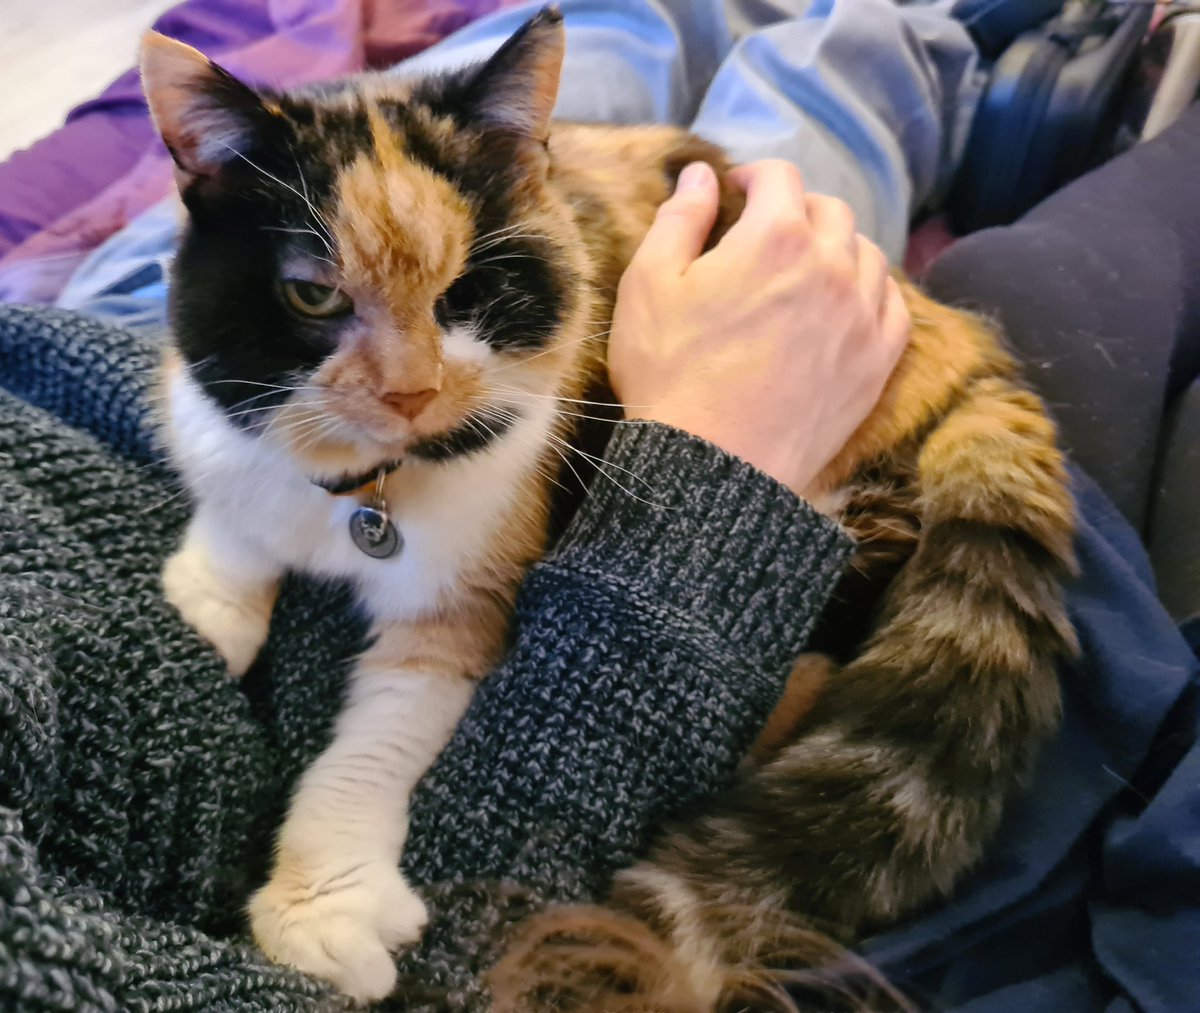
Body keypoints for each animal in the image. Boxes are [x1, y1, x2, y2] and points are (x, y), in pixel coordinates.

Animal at [140, 9, 1080, 1012]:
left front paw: (324, 909)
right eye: (312, 293)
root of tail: (955, 332)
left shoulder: (473, 586)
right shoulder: (226, 431)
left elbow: (374, 746)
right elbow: (235, 513)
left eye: (469, 291)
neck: (362, 491)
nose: (411, 392)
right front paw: (210, 603)